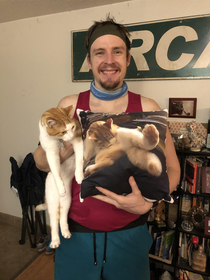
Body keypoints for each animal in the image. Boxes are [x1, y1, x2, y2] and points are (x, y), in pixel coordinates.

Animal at [35, 105, 83, 247]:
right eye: (63, 131)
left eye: (72, 127)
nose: (70, 135)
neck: (60, 141)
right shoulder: (51, 153)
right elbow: (56, 171)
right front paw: (61, 187)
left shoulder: (78, 140)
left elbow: (79, 160)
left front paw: (79, 176)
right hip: (52, 204)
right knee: (54, 223)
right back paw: (55, 240)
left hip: (67, 203)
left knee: (62, 219)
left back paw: (66, 232)